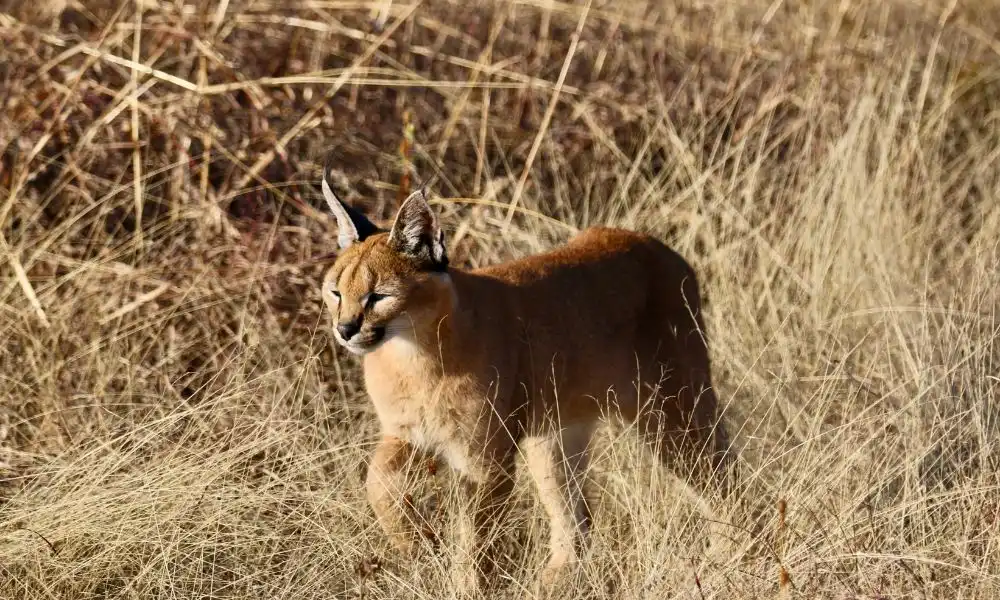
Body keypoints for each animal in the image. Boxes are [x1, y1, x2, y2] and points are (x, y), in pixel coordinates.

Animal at [320, 169, 736, 592]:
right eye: (335, 291)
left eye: (378, 296)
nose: (345, 329)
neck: (411, 355)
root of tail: (654, 244)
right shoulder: (405, 433)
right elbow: (377, 482)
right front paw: (415, 542)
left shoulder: (486, 459)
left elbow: (477, 539)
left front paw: (467, 586)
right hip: (554, 435)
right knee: (577, 520)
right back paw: (551, 584)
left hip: (670, 411)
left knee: (724, 483)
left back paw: (722, 563)